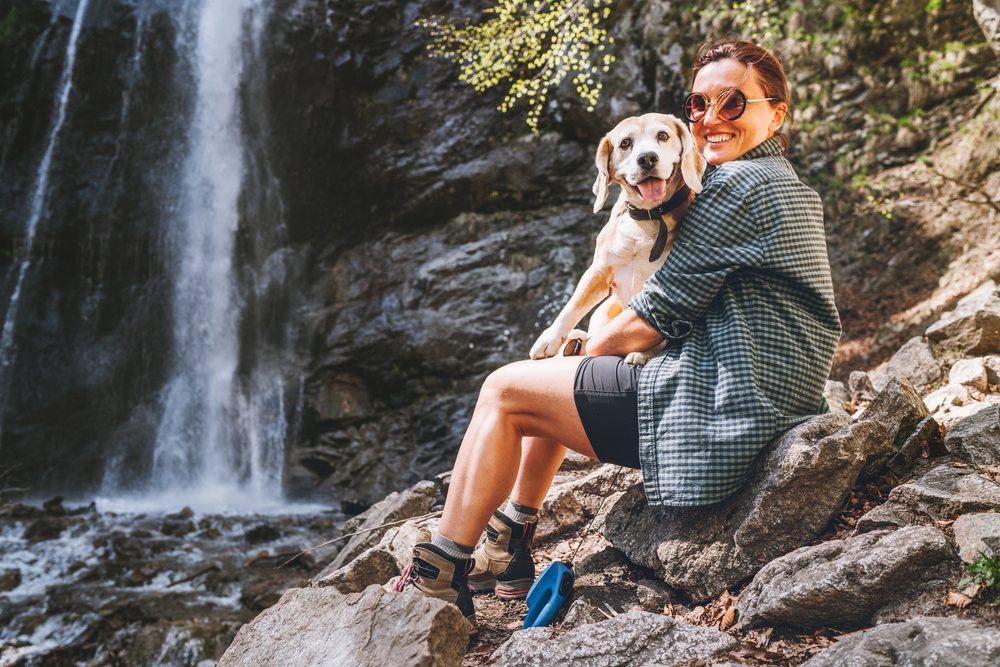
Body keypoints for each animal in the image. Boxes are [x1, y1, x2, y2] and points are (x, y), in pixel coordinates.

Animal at [528, 115, 708, 366]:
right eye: (625, 143)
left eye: (663, 135)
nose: (647, 158)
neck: (649, 216)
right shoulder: (599, 270)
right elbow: (572, 306)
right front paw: (550, 339)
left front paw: (645, 352)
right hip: (603, 311)